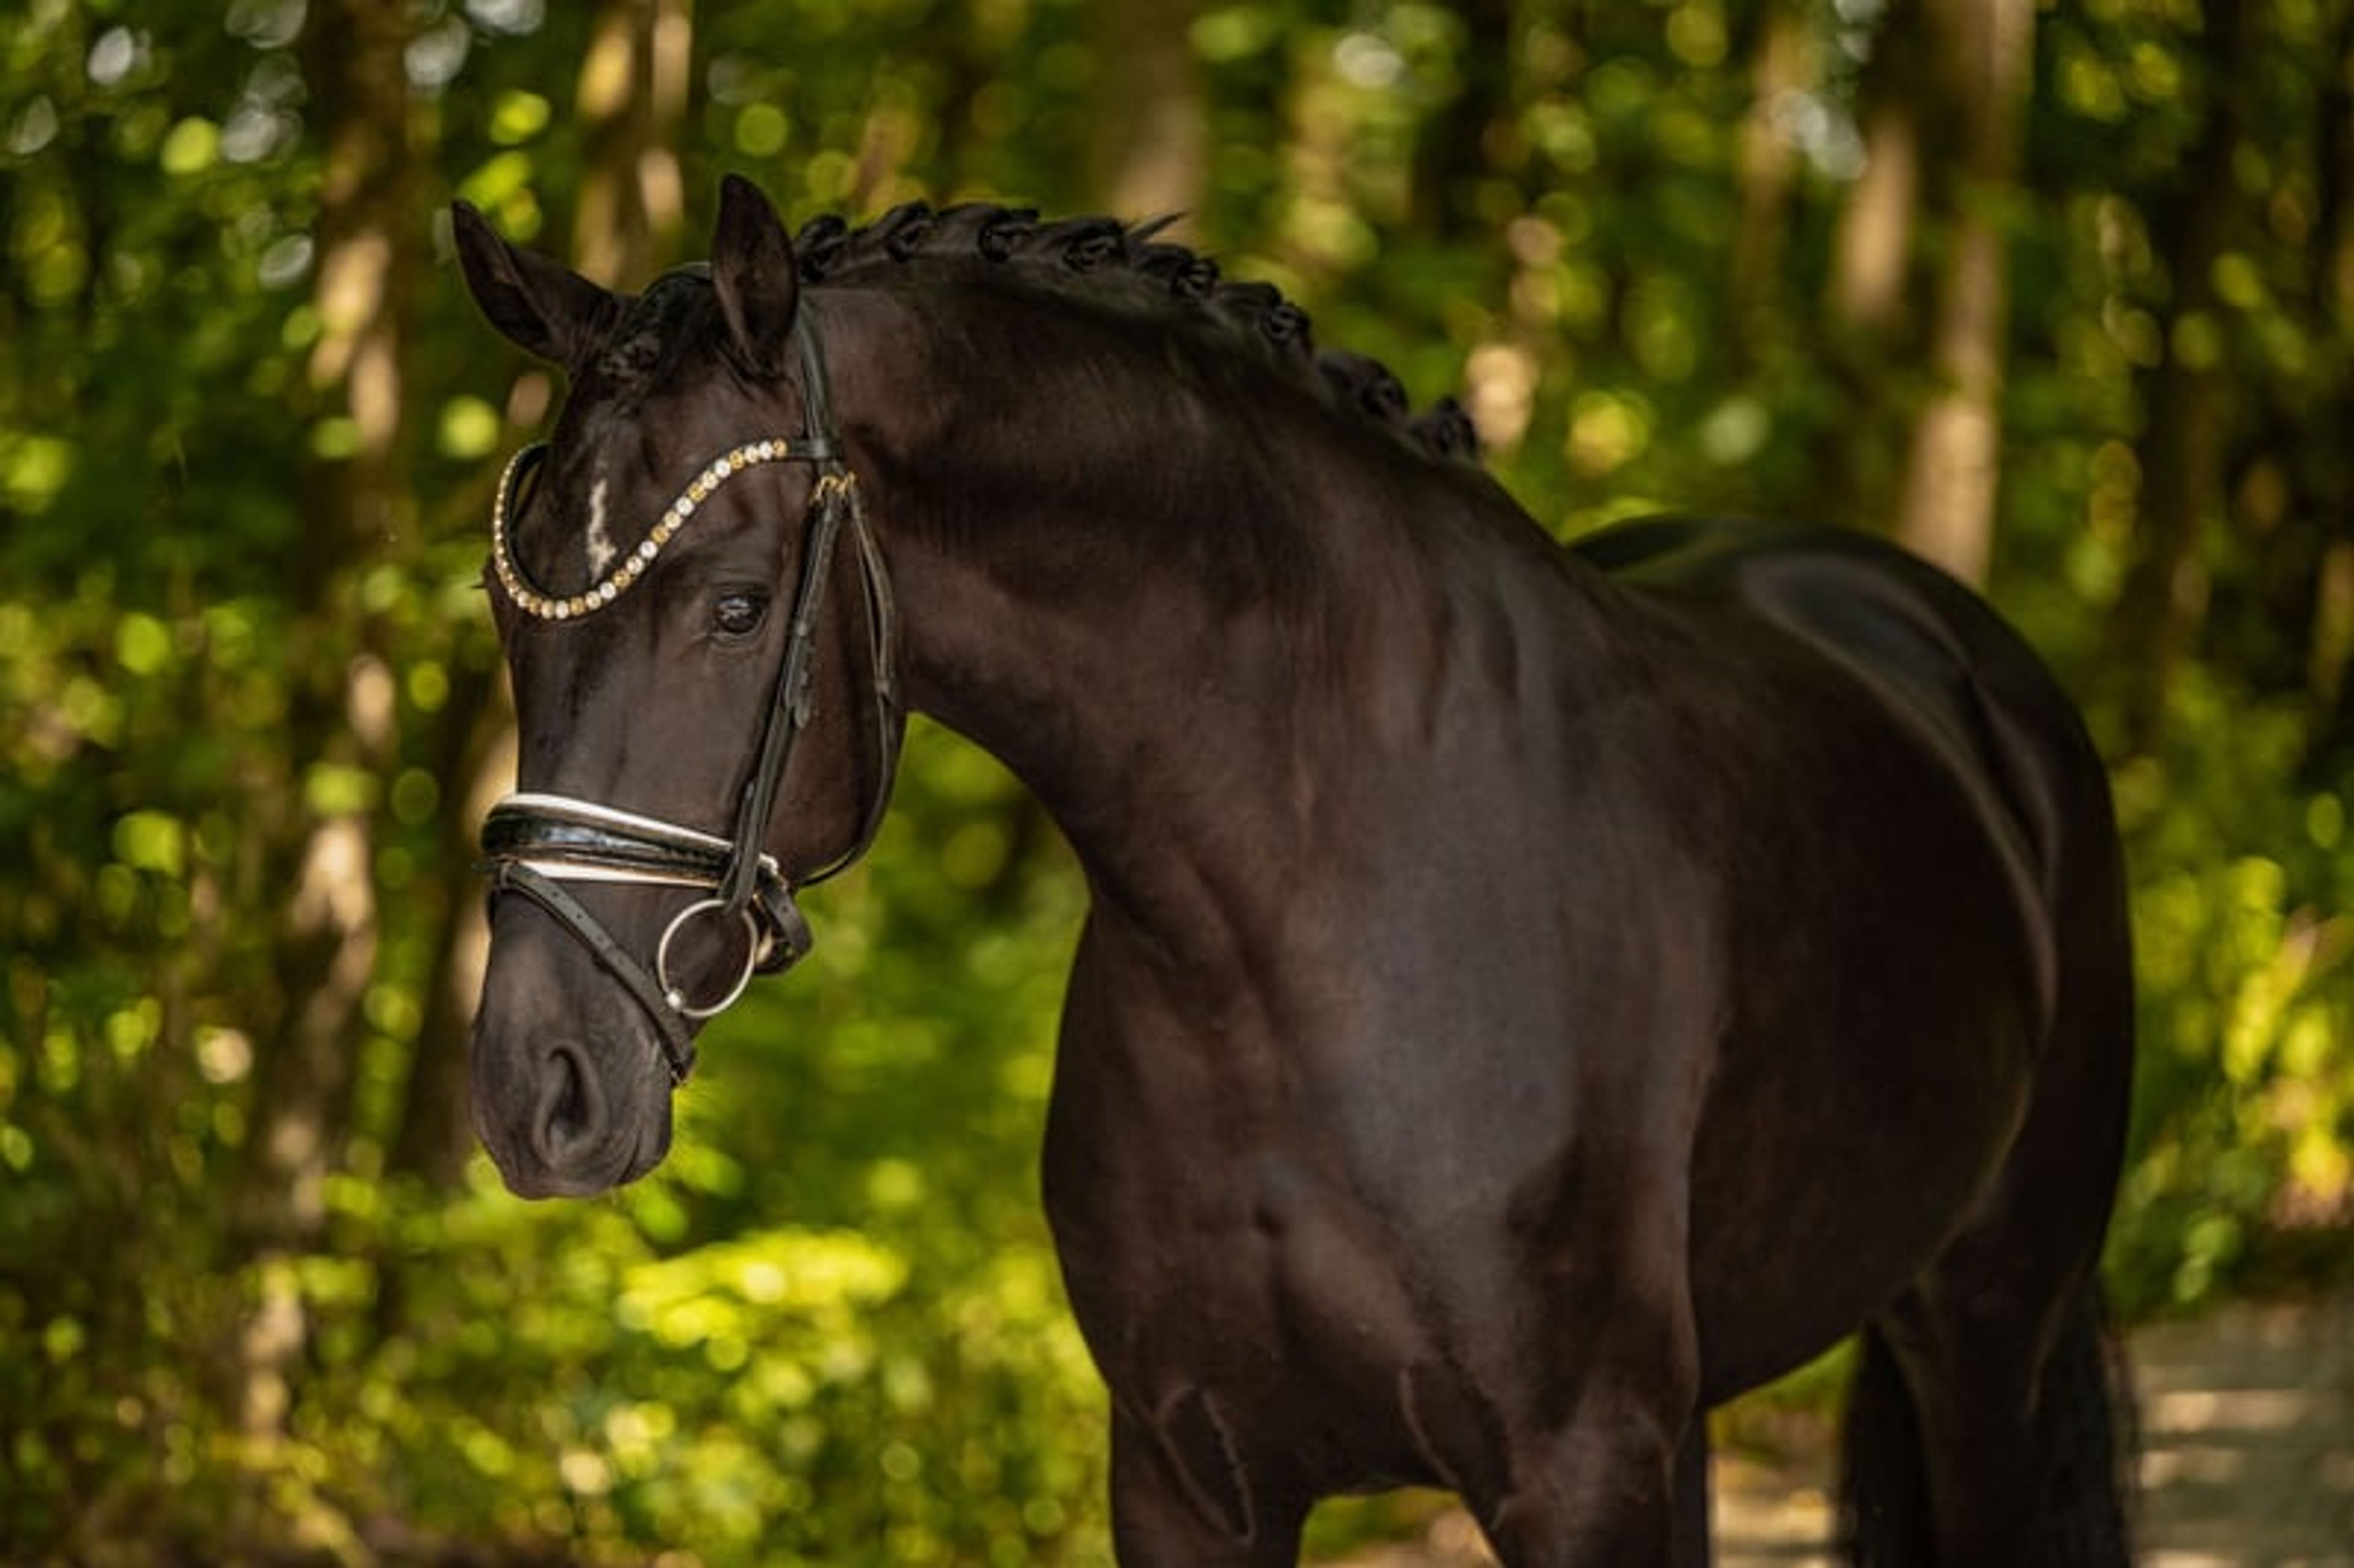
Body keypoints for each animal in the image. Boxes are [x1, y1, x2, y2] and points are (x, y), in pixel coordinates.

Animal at [453, 175, 2136, 1567]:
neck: (1304, 926)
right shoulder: (1190, 1476)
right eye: (509, 608)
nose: (537, 1088)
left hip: (1987, 1335)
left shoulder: (1577, 1469)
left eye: (736, 606)